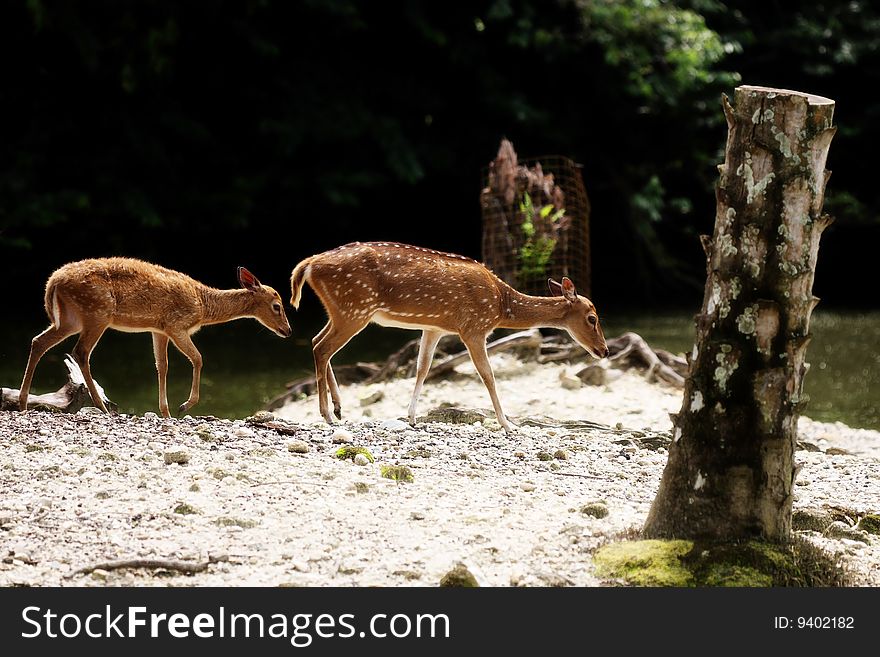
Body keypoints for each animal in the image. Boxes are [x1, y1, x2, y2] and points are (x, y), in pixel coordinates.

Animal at [19, 256, 292, 416]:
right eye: (277, 306)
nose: (288, 331)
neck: (203, 306)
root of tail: (52, 282)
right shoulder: (176, 324)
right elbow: (198, 358)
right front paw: (184, 406)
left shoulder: (158, 329)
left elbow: (162, 366)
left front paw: (166, 412)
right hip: (96, 313)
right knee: (80, 352)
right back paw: (101, 405)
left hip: (71, 319)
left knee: (38, 341)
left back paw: (22, 403)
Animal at [292, 241, 608, 430]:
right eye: (592, 318)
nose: (604, 350)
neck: (500, 305)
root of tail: (308, 265)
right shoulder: (474, 328)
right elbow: (488, 376)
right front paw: (508, 424)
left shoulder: (435, 328)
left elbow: (422, 368)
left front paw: (411, 417)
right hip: (355, 308)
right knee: (322, 347)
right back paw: (327, 414)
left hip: (341, 310)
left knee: (316, 341)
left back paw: (338, 407)